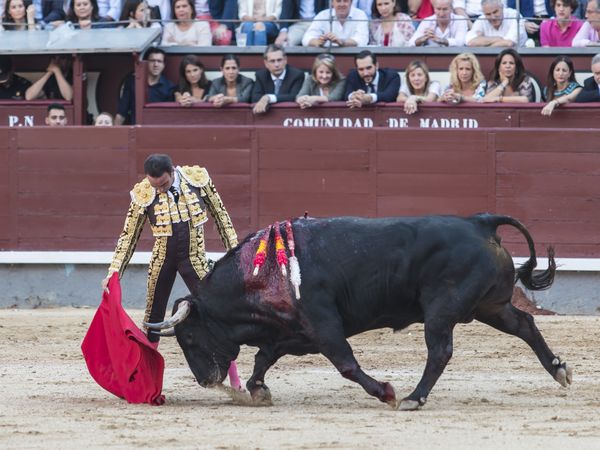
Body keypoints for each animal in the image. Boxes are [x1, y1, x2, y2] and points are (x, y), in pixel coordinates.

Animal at [145, 215, 572, 412]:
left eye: (188, 336)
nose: (205, 380)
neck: (262, 273)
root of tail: (478, 222)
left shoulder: (324, 325)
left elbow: (346, 364)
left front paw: (385, 392)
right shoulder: (296, 333)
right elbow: (265, 357)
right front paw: (258, 389)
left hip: (441, 310)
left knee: (439, 351)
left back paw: (413, 398)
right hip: (491, 305)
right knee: (525, 324)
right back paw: (559, 369)